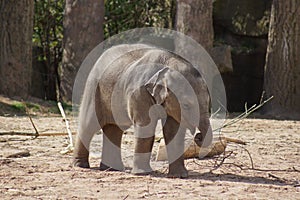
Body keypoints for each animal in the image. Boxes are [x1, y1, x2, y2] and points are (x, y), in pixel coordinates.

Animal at [73, 44, 213, 178]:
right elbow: (146, 126)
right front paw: (143, 173)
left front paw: (179, 175)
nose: (198, 136)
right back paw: (80, 165)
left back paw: (112, 168)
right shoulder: (139, 93)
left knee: (114, 128)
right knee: (88, 125)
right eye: (186, 105)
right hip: (93, 89)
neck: (169, 64)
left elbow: (173, 130)